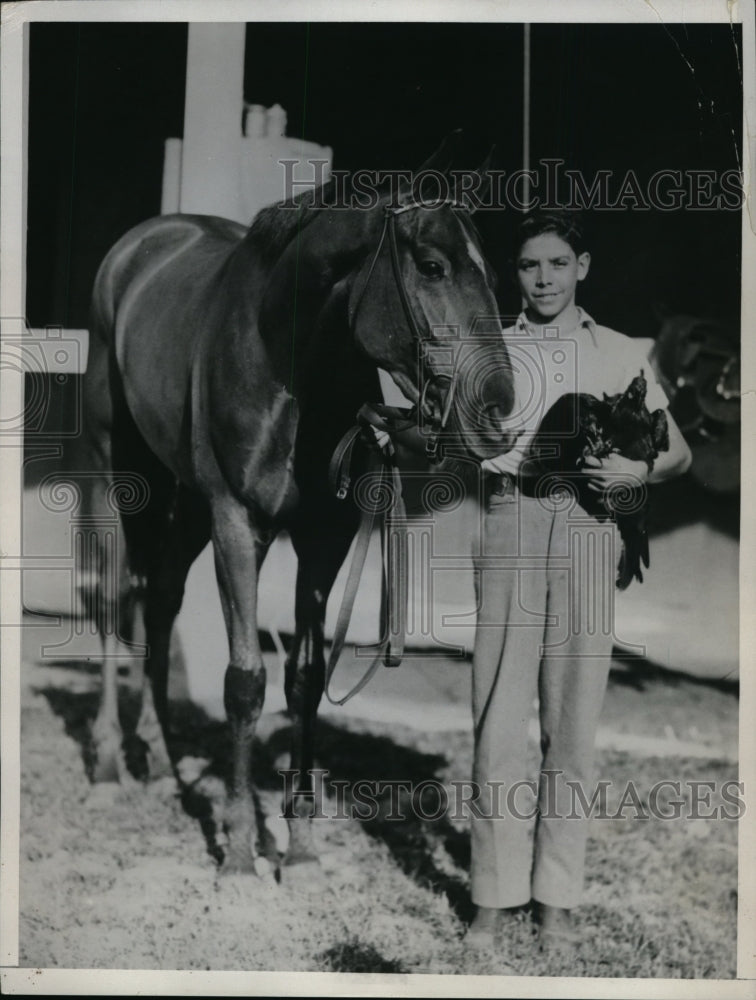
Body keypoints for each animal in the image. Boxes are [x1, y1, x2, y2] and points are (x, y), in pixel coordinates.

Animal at [74, 138, 516, 873]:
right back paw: (109, 764)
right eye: (432, 266)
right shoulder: (237, 524)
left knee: (161, 602)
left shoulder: (323, 537)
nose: (499, 415)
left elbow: (306, 678)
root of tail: (138, 246)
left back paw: (163, 760)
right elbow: (245, 681)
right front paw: (238, 847)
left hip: (186, 501)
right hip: (120, 471)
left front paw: (301, 839)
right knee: (114, 600)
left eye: (492, 274)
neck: (284, 365)